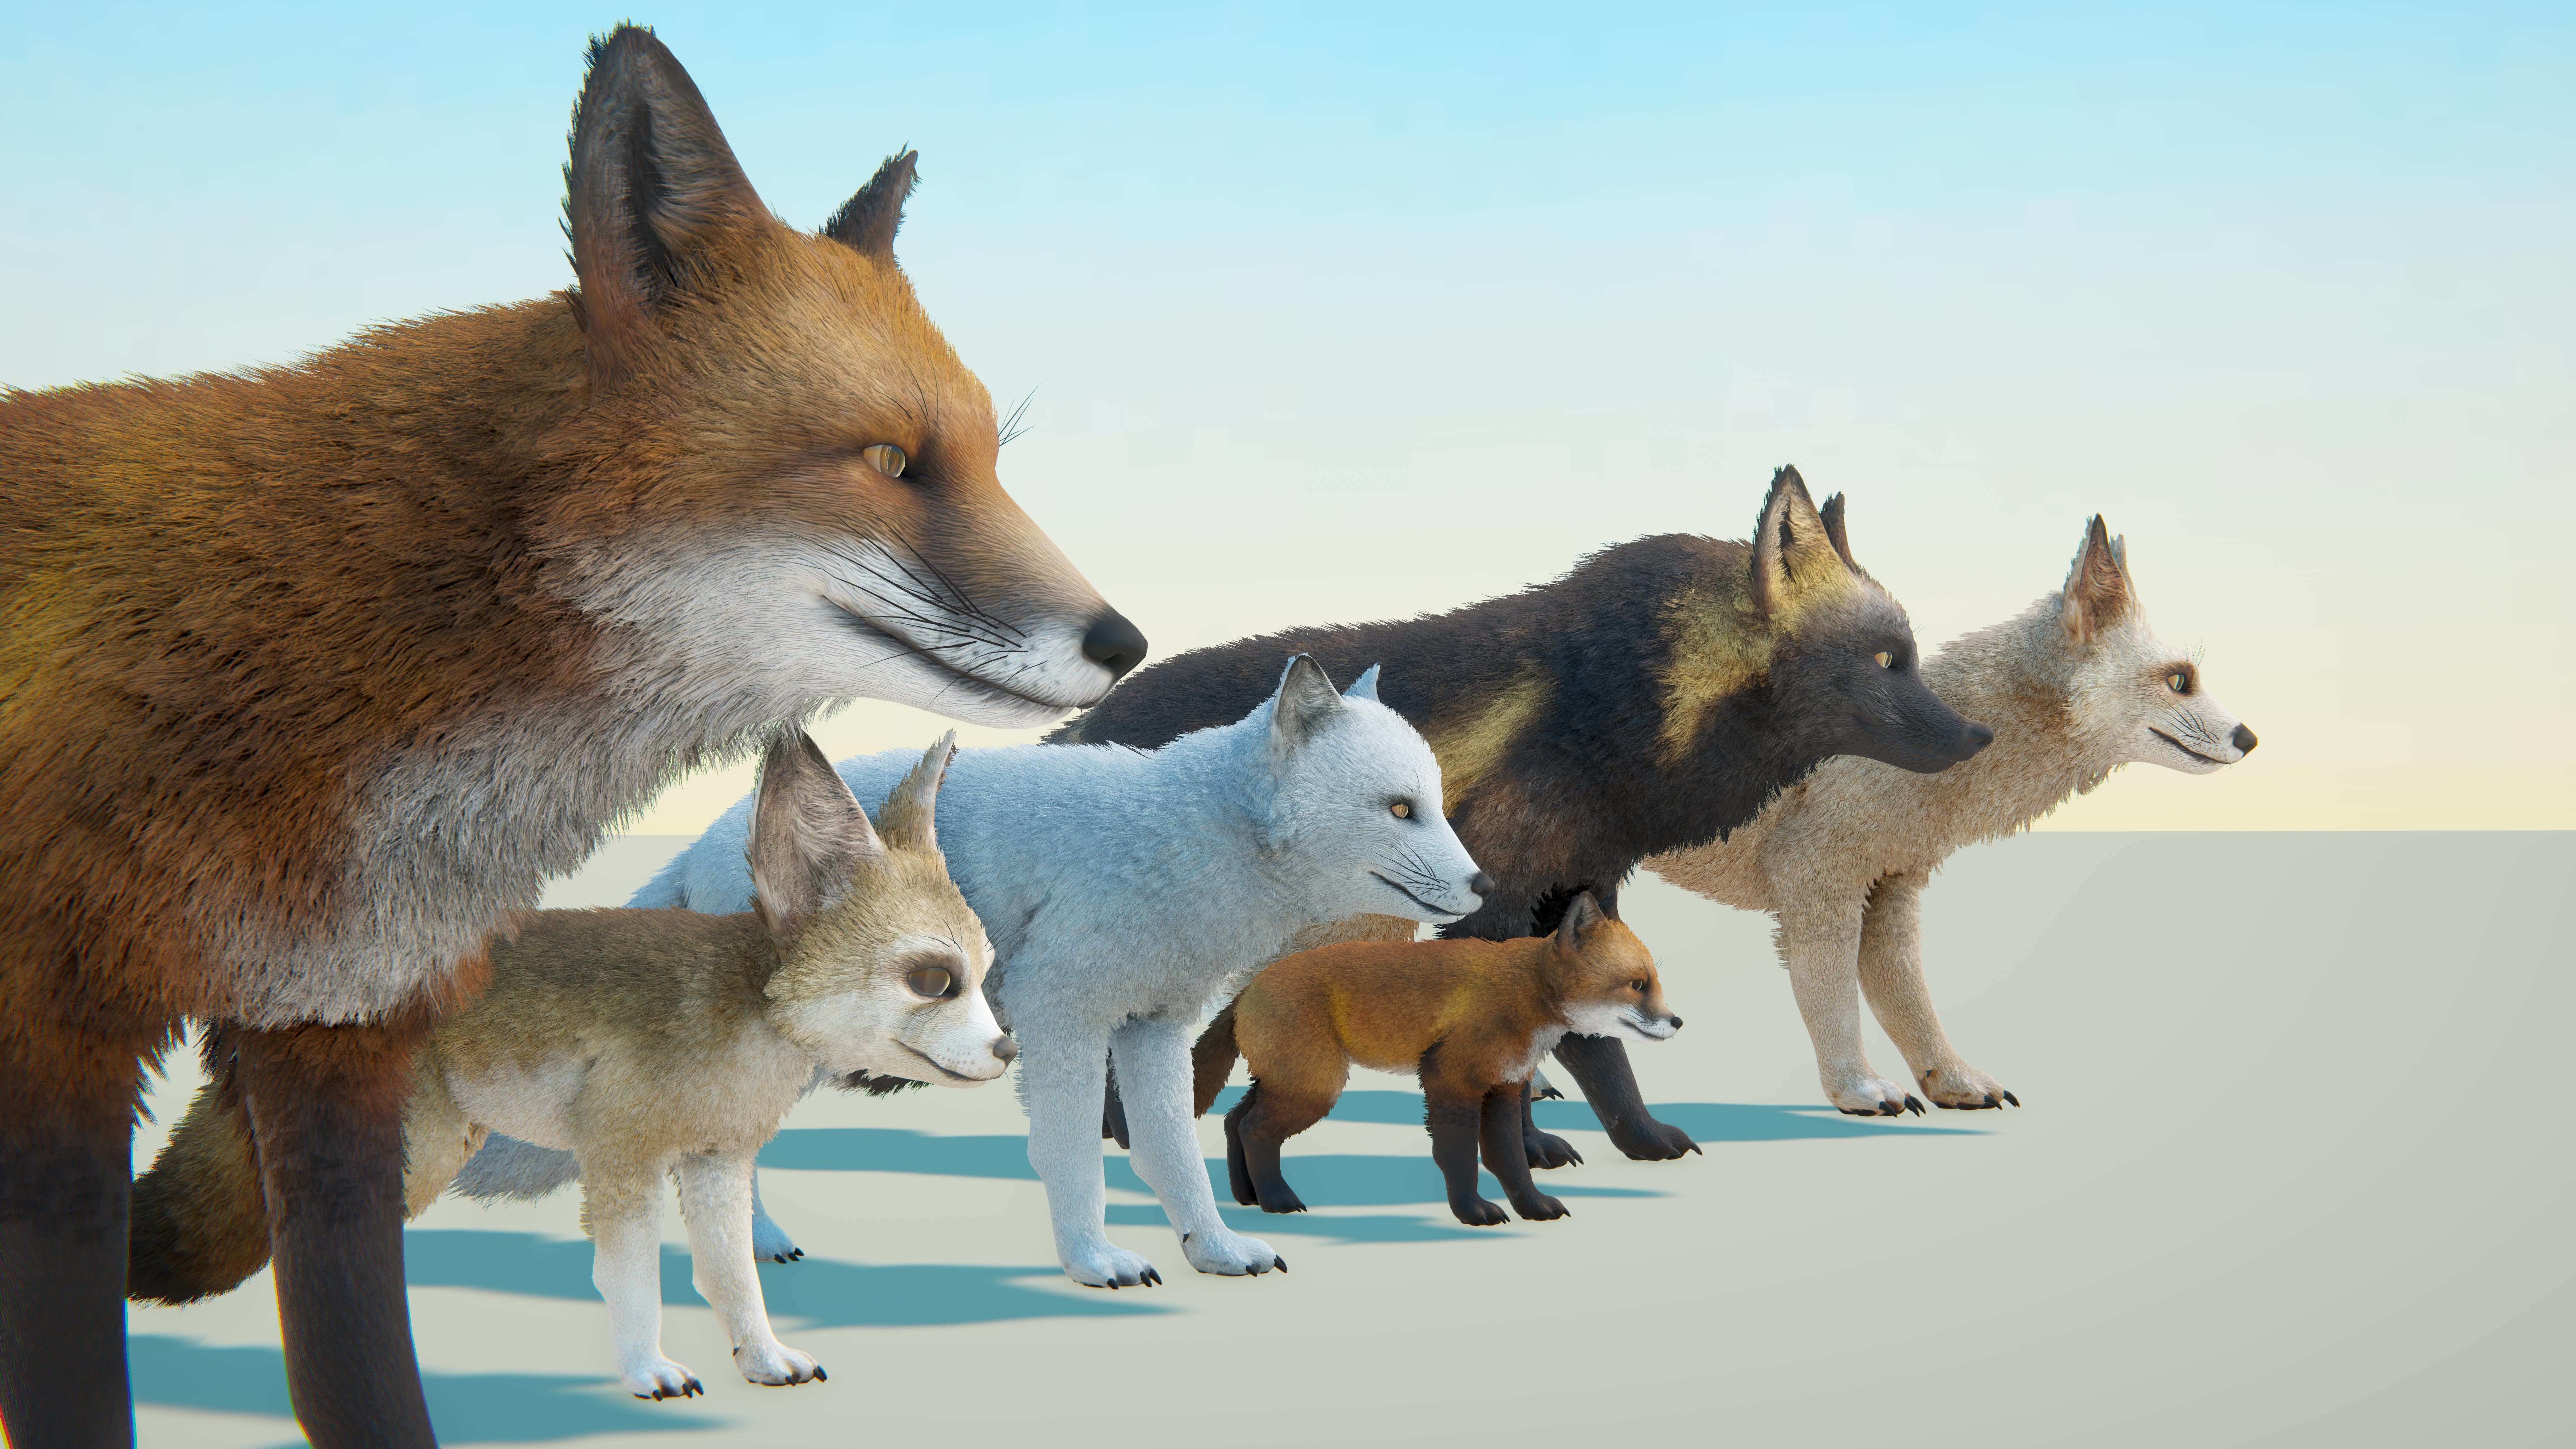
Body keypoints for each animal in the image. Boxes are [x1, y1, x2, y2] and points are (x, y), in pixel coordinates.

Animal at [131, 731, 1007, 1401]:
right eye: (934, 981)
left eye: (987, 975)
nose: (1009, 1049)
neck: (740, 1017)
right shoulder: (620, 1159)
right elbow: (635, 1282)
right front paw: (649, 1370)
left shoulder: (716, 1163)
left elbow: (734, 1279)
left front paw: (762, 1359)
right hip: (417, 1156)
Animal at [462, 655, 1492, 1289]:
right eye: (1401, 809)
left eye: (1435, 803)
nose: (1484, 886)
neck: (1195, 835)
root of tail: (710, 837)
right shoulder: (1062, 1017)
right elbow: (1075, 1155)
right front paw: (1094, 1262)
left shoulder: (1152, 1030)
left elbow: (1173, 1157)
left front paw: (1215, 1249)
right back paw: (758, 1248)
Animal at [1063, 468, 1991, 1170]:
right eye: (1887, 659)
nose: (1979, 737)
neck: (1603, 709)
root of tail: (1084, 727)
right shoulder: (1495, 909)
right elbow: (1527, 1053)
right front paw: (1530, 1151)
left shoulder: (1576, 898)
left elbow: (1600, 1053)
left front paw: (1639, 1140)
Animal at [1195, 891, 1680, 1227]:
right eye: (1637, 985)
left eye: (1655, 983)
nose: (1677, 1022)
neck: (1521, 994)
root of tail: (1249, 989)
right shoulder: (1449, 1079)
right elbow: (1459, 1156)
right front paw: (1473, 1212)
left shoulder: (1503, 1088)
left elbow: (1509, 1160)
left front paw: (1533, 1207)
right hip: (1314, 1088)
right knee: (1255, 1130)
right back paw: (1277, 1200)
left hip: (1286, 1082)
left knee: (1234, 1120)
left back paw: (1246, 1196)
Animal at [1647, 517, 2257, 1115]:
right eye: (2181, 679)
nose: (2249, 739)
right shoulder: (1815, 878)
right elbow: (1832, 993)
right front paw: (1857, 1088)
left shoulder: (1890, 887)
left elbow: (1905, 996)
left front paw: (1952, 1080)